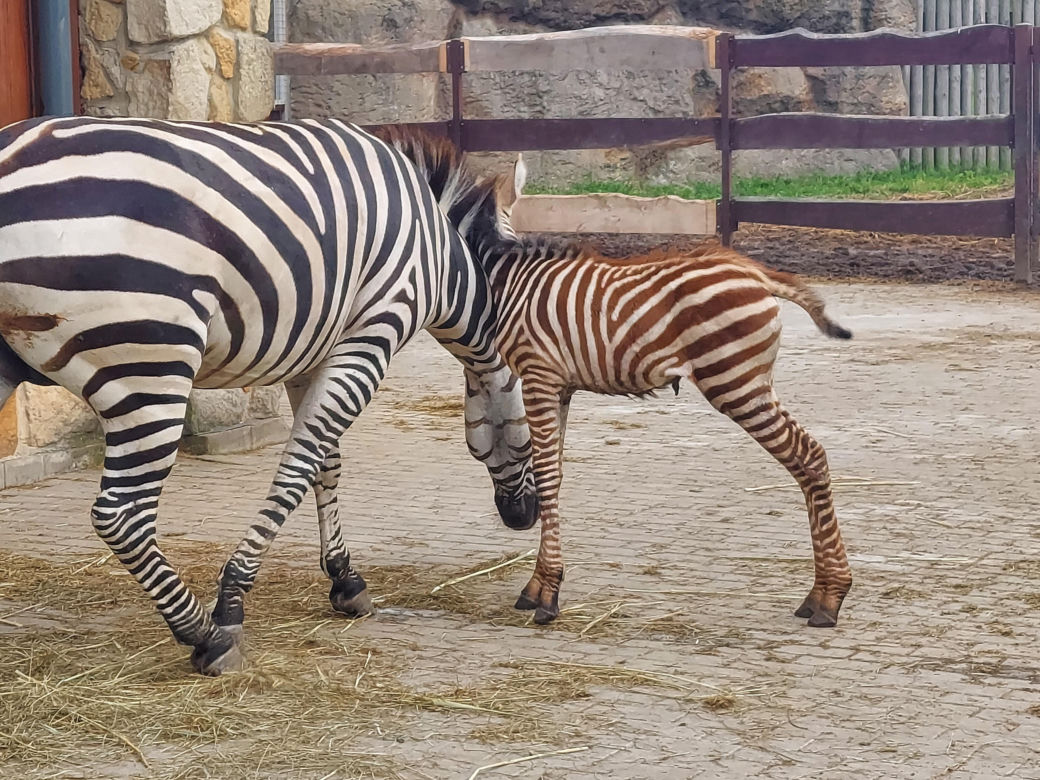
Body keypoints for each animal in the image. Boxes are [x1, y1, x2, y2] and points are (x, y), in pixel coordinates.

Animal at [0, 116, 538, 675]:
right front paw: (233, 600)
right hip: (149, 361)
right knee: (121, 515)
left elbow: (326, 463)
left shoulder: (317, 353)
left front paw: (345, 580)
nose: (526, 516)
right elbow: (298, 469)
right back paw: (207, 637)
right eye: (537, 416)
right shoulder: (373, 334)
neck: (441, 257)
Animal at [377, 127, 854, 628]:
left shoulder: (539, 376)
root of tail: (758, 274)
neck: (508, 280)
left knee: (808, 456)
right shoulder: (560, 385)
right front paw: (540, 584)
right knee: (811, 457)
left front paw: (547, 594)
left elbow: (546, 474)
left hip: (735, 381)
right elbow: (554, 474)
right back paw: (821, 594)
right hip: (749, 381)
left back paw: (828, 598)